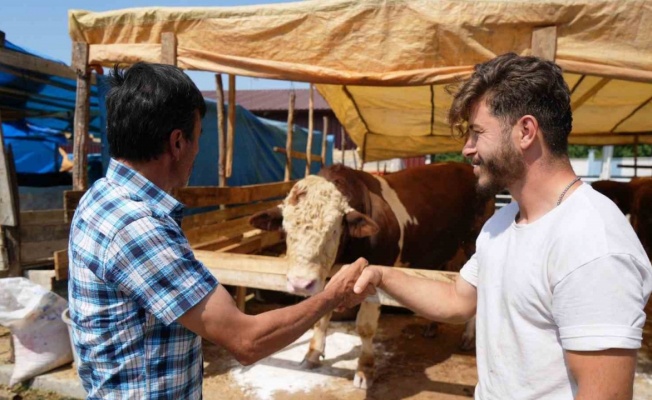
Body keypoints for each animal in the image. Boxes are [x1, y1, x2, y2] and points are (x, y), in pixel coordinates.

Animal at [250, 162, 494, 388]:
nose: (301, 283)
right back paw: (432, 327)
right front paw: (312, 354)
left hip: (472, 243)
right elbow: (321, 316)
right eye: (286, 228)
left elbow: (365, 327)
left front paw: (365, 370)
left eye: (334, 230)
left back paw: (468, 336)